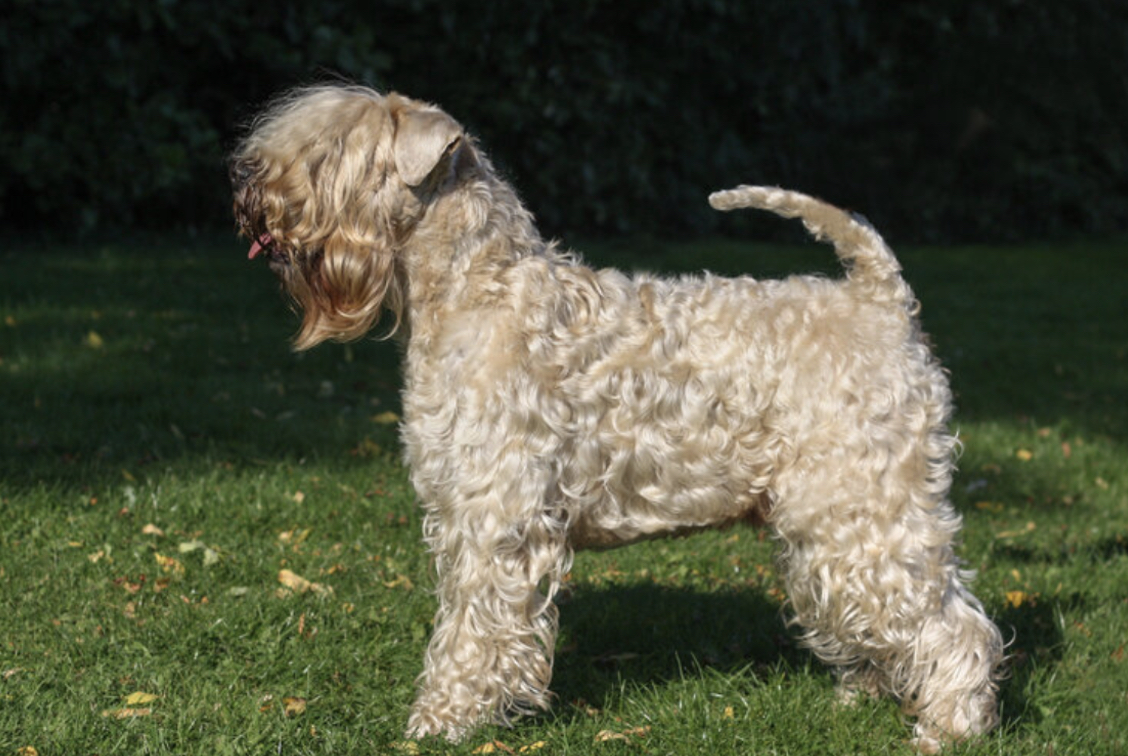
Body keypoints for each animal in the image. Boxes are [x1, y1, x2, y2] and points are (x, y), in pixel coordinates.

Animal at [228, 84, 1006, 753]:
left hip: (863, 506)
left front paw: (444, 720)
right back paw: (868, 695)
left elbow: (472, 627)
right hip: (828, 520)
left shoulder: (496, 516)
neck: (477, 292)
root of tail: (881, 298)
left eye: (336, 150)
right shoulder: (459, 509)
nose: (246, 183)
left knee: (951, 621)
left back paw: (950, 726)